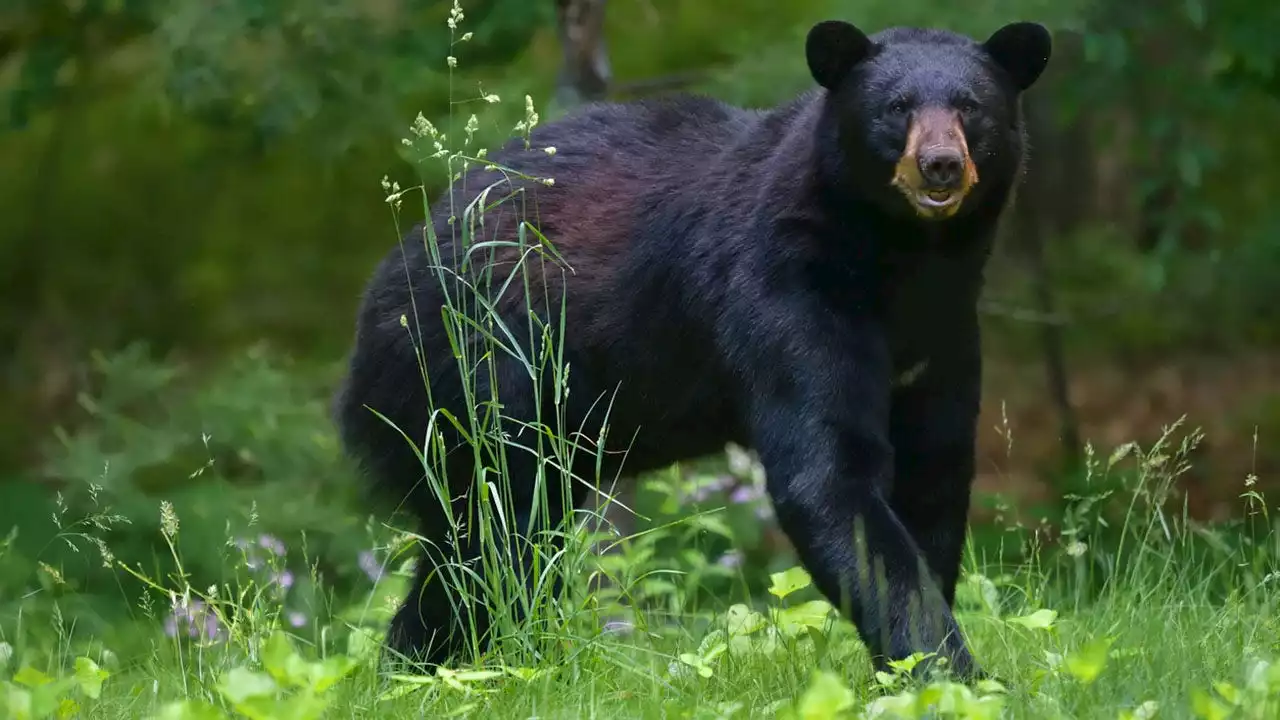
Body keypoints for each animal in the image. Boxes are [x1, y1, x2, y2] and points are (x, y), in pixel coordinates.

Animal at [330, 18, 1049, 676]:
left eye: (970, 106)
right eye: (896, 107)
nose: (940, 164)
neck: (902, 259)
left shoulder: (944, 331)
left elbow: (934, 471)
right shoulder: (788, 291)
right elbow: (830, 474)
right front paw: (952, 671)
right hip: (476, 379)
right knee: (492, 537)